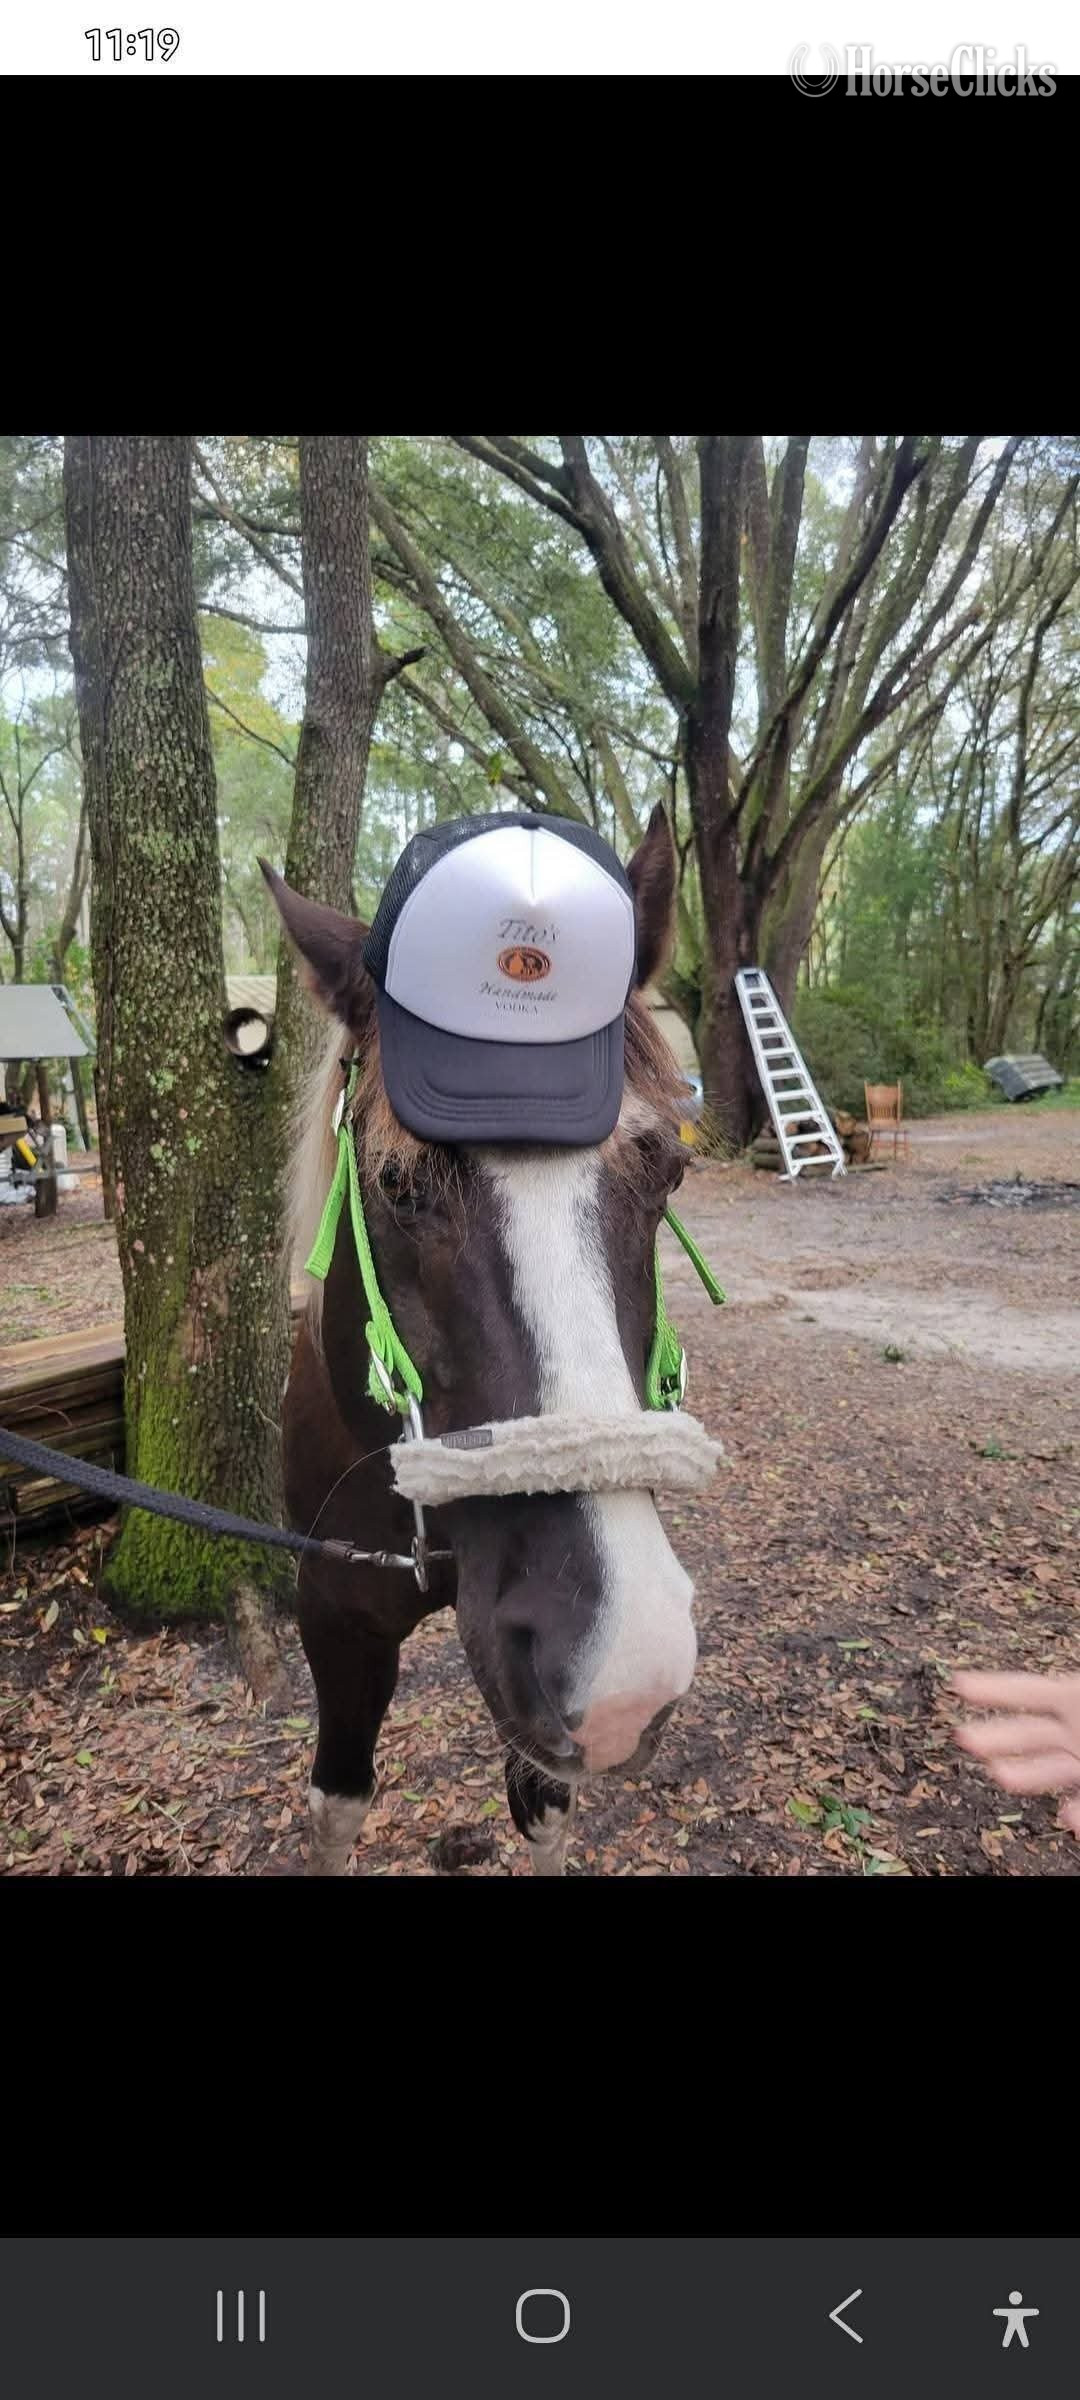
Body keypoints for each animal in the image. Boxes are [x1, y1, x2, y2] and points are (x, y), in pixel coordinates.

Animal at [264, 805, 712, 1876]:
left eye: (666, 1170)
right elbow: (337, 1806)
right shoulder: (332, 1611)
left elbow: (544, 1810)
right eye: (397, 1183)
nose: (626, 1668)